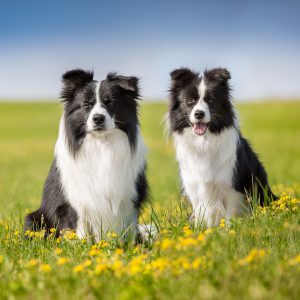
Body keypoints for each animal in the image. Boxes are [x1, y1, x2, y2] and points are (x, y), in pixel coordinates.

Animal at [24, 69, 148, 240]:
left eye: (110, 102)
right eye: (87, 105)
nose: (98, 118)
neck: (101, 145)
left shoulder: (129, 198)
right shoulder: (75, 201)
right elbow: (79, 230)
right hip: (33, 219)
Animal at [168, 67, 276, 227]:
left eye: (210, 100)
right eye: (190, 101)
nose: (199, 114)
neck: (204, 142)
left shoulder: (232, 187)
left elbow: (231, 215)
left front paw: (230, 231)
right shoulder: (195, 188)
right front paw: (202, 231)